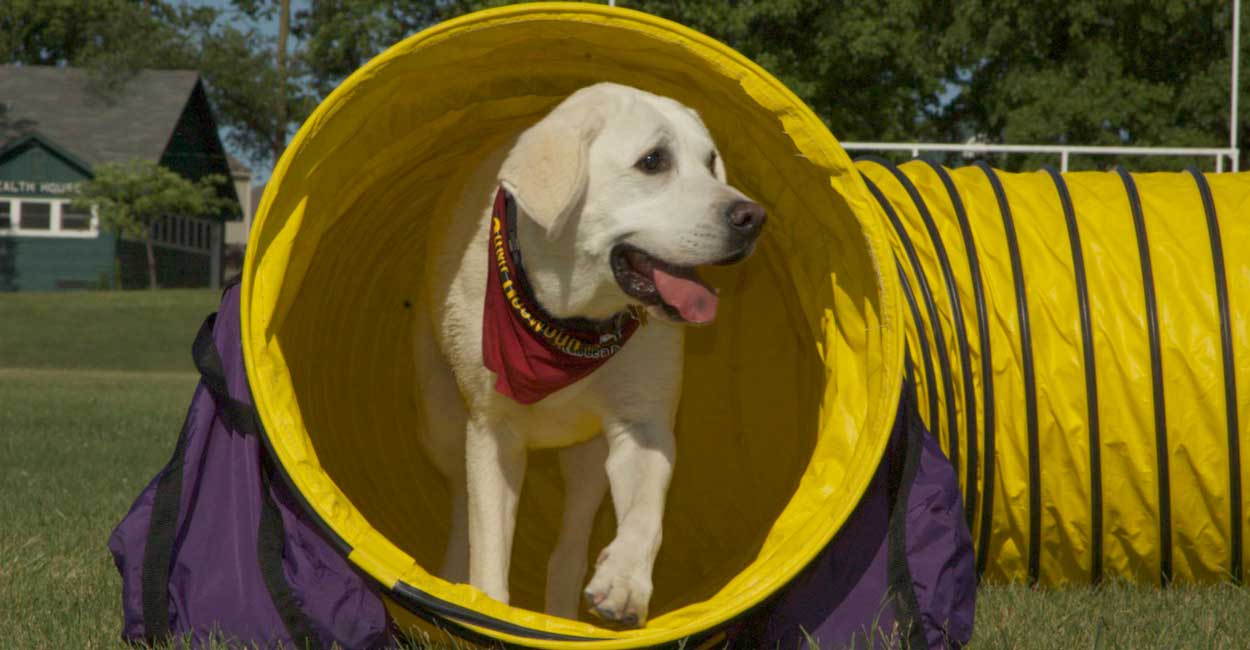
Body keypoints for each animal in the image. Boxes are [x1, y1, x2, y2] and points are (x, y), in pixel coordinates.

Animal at [412, 81, 760, 625]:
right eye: (653, 161)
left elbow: (646, 513)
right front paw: (489, 610)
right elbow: (489, 549)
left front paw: (624, 582)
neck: (570, 323)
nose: (753, 217)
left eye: (711, 162)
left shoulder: (643, 424)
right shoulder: (491, 432)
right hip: (443, 422)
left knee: (567, 551)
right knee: (463, 506)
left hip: (586, 459)